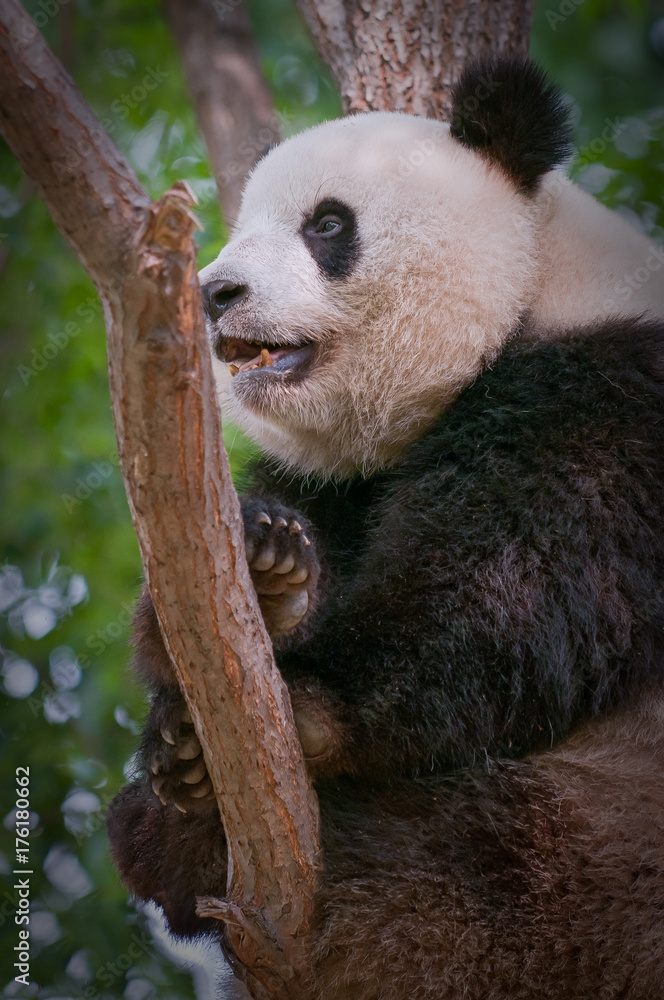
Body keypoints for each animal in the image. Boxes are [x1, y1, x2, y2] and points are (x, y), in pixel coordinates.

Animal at [107, 58, 664, 999]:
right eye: (240, 226)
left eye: (327, 224)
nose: (216, 295)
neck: (536, 285)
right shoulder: (339, 480)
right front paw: (267, 571)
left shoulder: (615, 406)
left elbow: (505, 587)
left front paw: (313, 706)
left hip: (596, 856)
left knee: (473, 877)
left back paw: (194, 834)